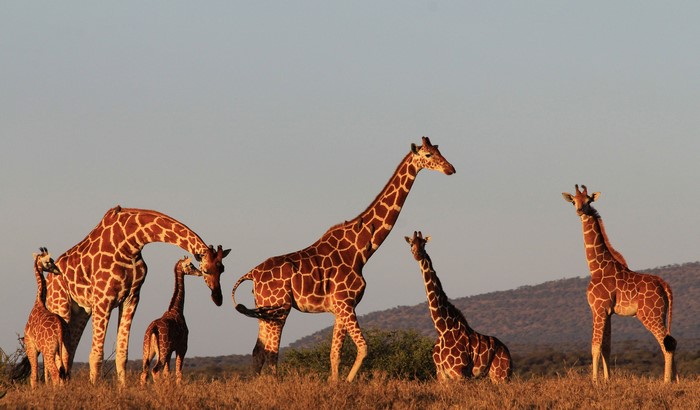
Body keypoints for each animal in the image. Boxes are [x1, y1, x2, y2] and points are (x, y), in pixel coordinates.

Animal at [24, 247, 71, 388]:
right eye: (49, 261)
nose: (58, 271)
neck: (39, 302)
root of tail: (60, 327)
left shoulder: (31, 346)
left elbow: (33, 376)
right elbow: (45, 375)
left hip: (49, 350)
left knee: (55, 373)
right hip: (65, 347)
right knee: (65, 372)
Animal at [141, 257, 200, 385]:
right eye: (190, 265)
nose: (199, 273)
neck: (177, 309)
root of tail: (153, 328)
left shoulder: (170, 351)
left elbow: (167, 373)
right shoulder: (182, 347)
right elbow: (178, 373)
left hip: (148, 349)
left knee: (144, 372)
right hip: (163, 350)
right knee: (155, 370)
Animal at [231, 137, 455, 382]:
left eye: (439, 151)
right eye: (428, 155)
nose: (450, 169)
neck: (360, 251)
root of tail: (252, 274)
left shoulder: (339, 309)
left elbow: (334, 353)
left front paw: (334, 383)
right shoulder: (346, 303)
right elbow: (364, 347)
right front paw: (347, 382)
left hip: (265, 311)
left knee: (258, 351)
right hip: (279, 309)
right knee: (271, 353)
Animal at [405, 231, 512, 383]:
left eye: (424, 243)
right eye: (411, 244)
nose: (417, 254)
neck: (442, 329)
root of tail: (508, 353)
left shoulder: (459, 373)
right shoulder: (441, 375)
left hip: (501, 375)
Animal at [562, 184, 676, 383]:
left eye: (588, 201)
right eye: (574, 201)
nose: (579, 211)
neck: (596, 268)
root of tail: (664, 286)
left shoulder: (598, 308)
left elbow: (595, 346)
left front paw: (595, 381)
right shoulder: (608, 312)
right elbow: (606, 348)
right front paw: (607, 380)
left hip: (649, 314)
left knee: (665, 344)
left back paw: (666, 382)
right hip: (660, 314)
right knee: (673, 341)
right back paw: (677, 379)